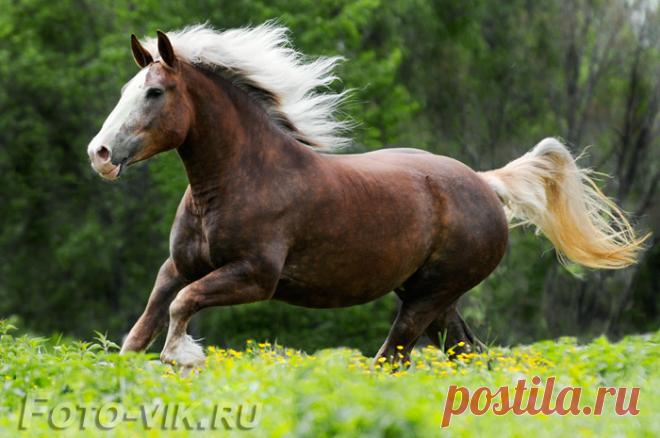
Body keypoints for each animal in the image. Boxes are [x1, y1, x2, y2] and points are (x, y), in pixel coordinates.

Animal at [86, 23, 646, 369]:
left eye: (155, 93)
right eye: (124, 90)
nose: (100, 153)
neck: (234, 181)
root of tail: (485, 183)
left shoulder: (254, 277)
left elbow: (181, 308)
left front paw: (184, 357)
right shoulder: (180, 266)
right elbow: (142, 328)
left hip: (426, 300)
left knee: (392, 361)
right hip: (432, 299)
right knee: (470, 356)